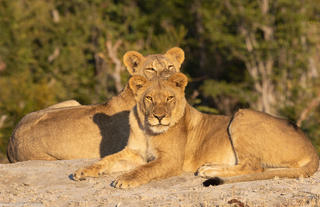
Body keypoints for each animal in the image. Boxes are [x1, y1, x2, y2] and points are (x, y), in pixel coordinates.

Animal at [73, 72, 320, 188]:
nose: (159, 117)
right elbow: (106, 160)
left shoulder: (171, 160)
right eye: (149, 98)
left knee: (253, 166)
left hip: (241, 116)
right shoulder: (134, 153)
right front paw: (83, 171)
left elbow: (144, 169)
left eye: (170, 98)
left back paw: (209, 171)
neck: (147, 129)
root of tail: (311, 146)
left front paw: (125, 179)